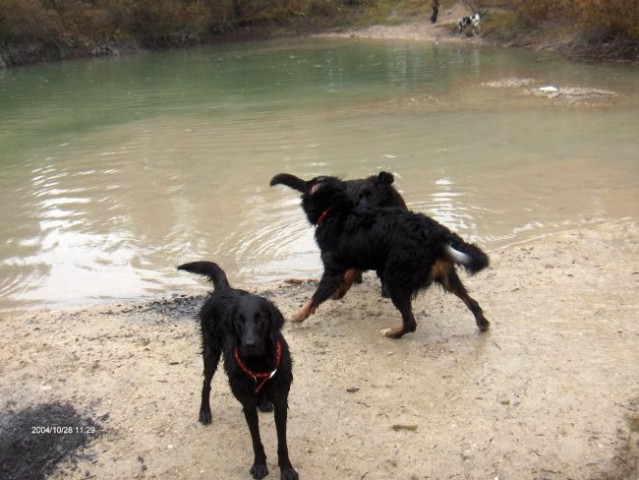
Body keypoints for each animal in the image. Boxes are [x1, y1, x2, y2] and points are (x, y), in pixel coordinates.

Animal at [179, 262, 298, 480]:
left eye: (261, 318)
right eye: (239, 320)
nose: (249, 345)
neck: (259, 363)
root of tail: (224, 289)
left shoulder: (281, 401)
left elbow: (282, 442)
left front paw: (286, 469)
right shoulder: (248, 405)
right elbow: (256, 441)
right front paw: (259, 466)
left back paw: (264, 403)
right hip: (210, 351)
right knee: (206, 384)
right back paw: (205, 412)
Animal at [288, 175, 490, 338]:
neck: (336, 211)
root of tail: (435, 233)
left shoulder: (333, 270)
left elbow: (315, 298)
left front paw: (298, 317)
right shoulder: (360, 255)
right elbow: (350, 274)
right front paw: (340, 292)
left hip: (396, 279)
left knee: (410, 323)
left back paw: (392, 333)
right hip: (447, 276)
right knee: (473, 303)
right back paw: (483, 324)